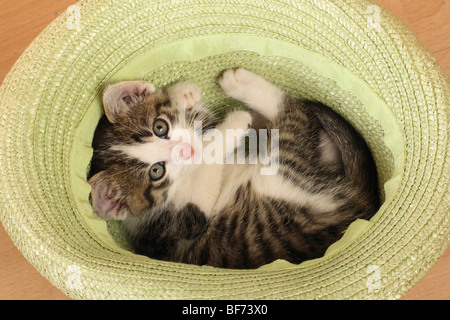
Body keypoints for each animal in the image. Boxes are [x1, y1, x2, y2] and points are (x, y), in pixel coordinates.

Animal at [88, 68, 380, 270]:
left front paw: (182, 94)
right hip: (284, 176)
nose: (186, 151)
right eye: (156, 172)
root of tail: (358, 202)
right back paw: (240, 86)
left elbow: (197, 123)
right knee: (292, 114)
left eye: (160, 127)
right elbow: (206, 164)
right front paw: (231, 124)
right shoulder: (185, 223)